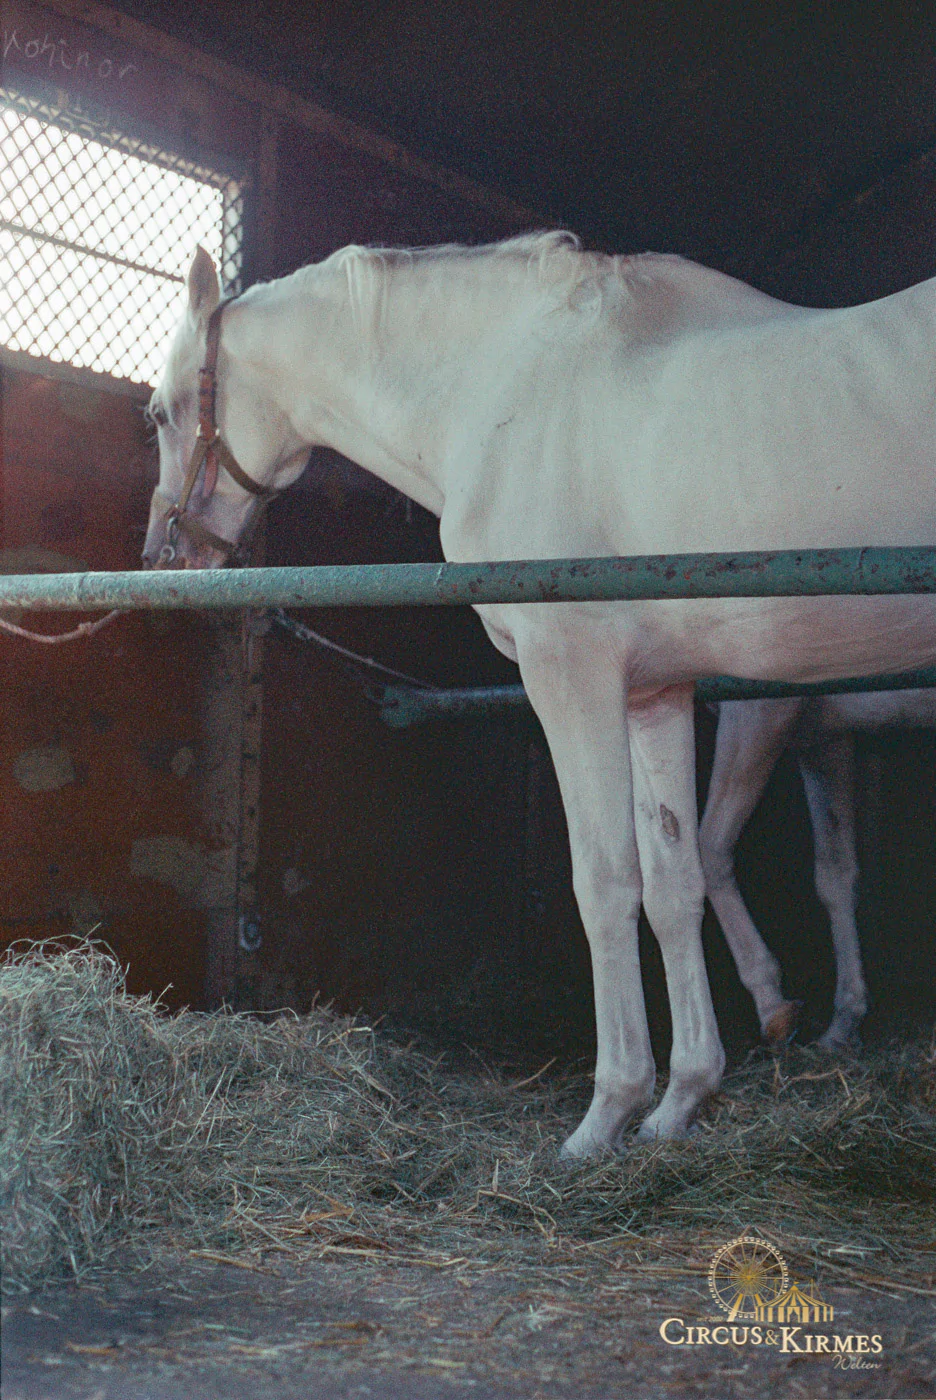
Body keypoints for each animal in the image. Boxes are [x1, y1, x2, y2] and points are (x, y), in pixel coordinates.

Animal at [702, 689, 936, 1050]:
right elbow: (835, 874)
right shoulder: (822, 736)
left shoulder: (757, 710)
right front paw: (844, 1023)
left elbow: (710, 850)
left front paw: (773, 1006)